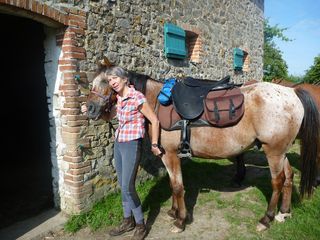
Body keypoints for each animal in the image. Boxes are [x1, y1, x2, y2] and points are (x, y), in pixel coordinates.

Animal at [86, 65, 318, 232]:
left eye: (107, 82)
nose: (89, 108)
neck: (155, 103)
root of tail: (292, 91)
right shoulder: (167, 156)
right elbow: (173, 184)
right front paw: (173, 212)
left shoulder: (171, 155)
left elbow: (177, 186)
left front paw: (180, 221)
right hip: (281, 151)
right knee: (288, 177)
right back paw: (283, 213)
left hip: (273, 151)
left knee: (277, 182)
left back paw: (266, 219)